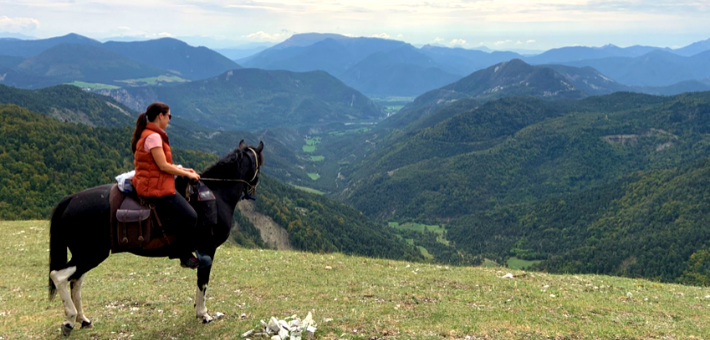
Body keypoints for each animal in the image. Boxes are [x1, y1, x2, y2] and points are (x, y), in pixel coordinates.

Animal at [48, 140, 264, 334]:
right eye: (260, 163)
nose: (253, 189)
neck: (217, 196)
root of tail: (70, 200)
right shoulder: (207, 249)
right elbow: (203, 282)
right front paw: (204, 314)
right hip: (91, 253)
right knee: (59, 276)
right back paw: (69, 320)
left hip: (85, 254)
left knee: (76, 282)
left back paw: (83, 319)